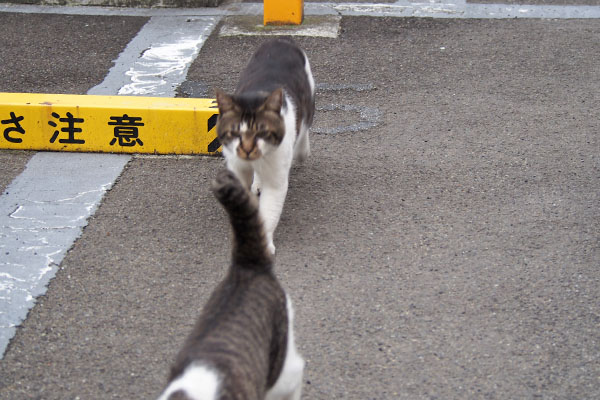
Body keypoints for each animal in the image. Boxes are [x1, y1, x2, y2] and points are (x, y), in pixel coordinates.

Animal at [217, 39, 318, 255]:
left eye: (261, 133)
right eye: (235, 133)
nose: (247, 149)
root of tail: (280, 40)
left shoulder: (276, 176)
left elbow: (269, 211)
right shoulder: (236, 166)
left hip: (309, 97)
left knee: (305, 125)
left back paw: (302, 150)